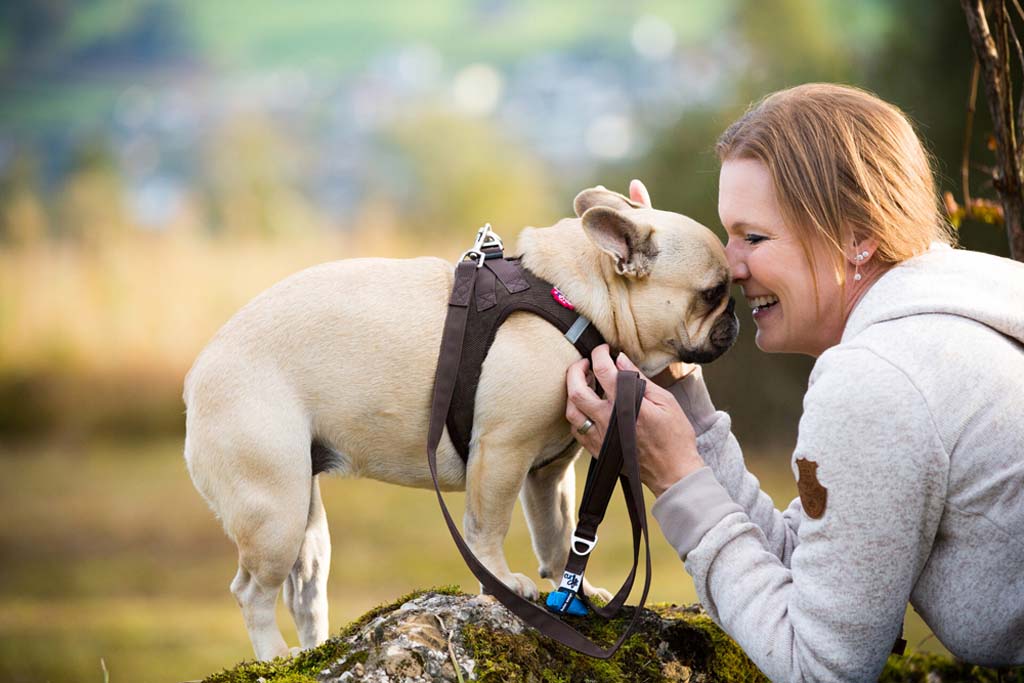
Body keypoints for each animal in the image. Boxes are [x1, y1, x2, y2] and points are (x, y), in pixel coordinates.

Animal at [184, 184, 741, 659]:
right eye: (713, 292)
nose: (735, 318)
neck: (578, 300)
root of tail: (199, 371)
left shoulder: (548, 472)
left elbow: (563, 535)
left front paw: (574, 592)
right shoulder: (502, 451)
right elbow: (488, 525)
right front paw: (500, 583)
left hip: (303, 517)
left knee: (305, 589)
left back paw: (312, 650)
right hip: (272, 508)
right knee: (250, 591)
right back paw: (274, 654)